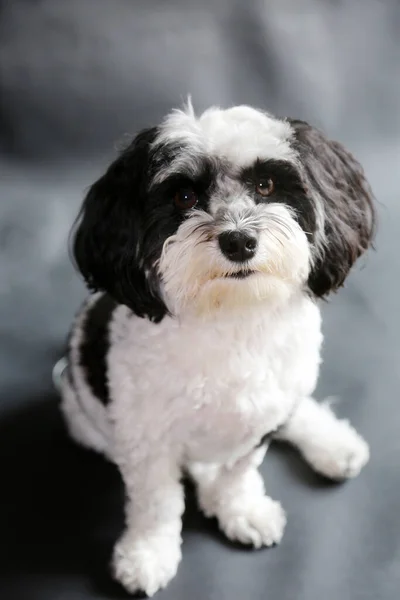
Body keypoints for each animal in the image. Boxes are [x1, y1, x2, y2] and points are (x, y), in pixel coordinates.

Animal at [55, 103, 376, 596]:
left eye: (266, 186)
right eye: (184, 197)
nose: (238, 240)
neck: (231, 316)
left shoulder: (263, 416)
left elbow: (239, 470)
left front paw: (240, 508)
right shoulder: (145, 436)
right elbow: (157, 500)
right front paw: (148, 553)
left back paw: (333, 443)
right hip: (85, 422)